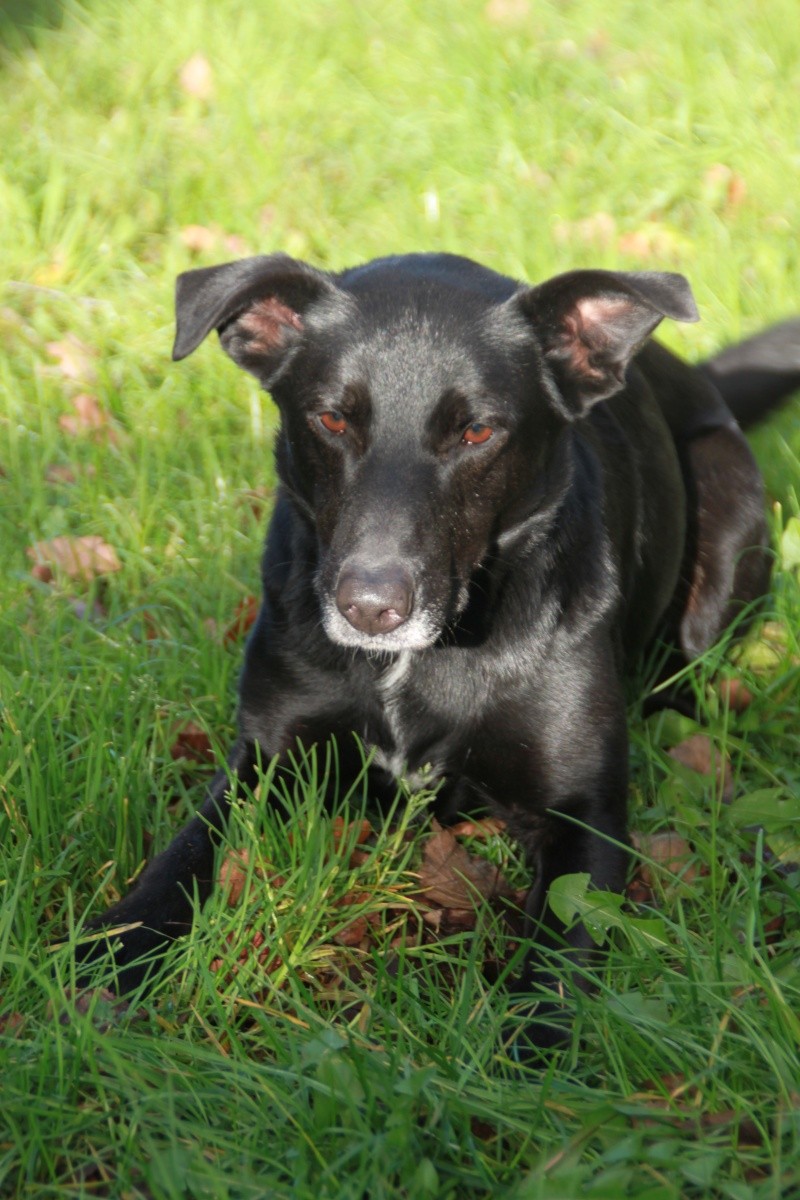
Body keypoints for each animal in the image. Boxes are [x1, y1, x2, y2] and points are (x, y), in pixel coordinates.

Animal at [76, 253, 800, 1051]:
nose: (370, 607)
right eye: (331, 418)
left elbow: (561, 945)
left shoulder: (584, 810)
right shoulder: (263, 760)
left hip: (728, 518)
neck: (415, 663)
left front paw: (536, 1048)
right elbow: (183, 857)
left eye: (477, 432)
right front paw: (114, 951)